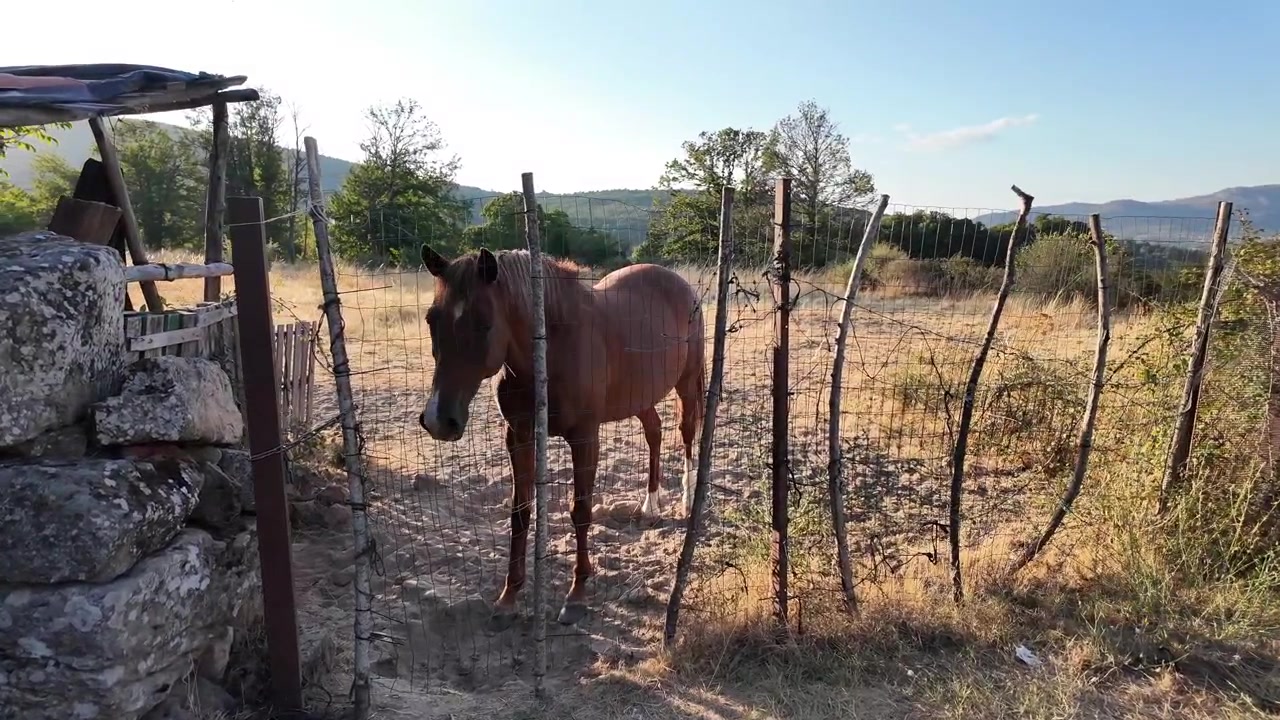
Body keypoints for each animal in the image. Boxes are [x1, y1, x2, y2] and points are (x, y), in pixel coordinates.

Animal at [416, 244, 707, 627]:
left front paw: (577, 594)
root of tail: (681, 285)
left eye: (484, 323)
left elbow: (580, 510)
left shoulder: (584, 438)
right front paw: (509, 596)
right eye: (431, 320)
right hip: (640, 397)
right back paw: (650, 506)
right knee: (654, 432)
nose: (439, 420)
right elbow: (520, 512)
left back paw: (687, 501)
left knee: (687, 434)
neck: (549, 350)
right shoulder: (519, 436)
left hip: (686, 384)